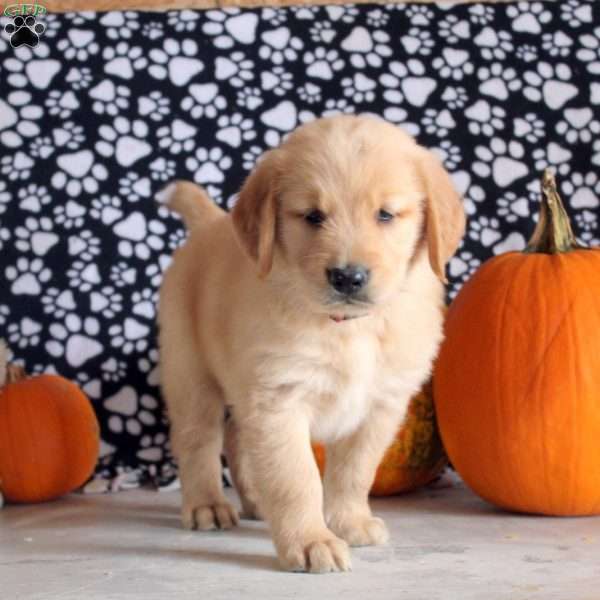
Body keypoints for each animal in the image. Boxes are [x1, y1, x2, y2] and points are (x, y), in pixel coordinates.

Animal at [158, 115, 464, 576]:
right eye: (313, 216)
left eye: (385, 214)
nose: (348, 277)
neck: (348, 329)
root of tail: (212, 223)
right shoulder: (279, 398)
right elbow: (296, 478)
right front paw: (310, 541)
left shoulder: (381, 406)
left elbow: (355, 470)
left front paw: (350, 522)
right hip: (191, 375)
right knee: (200, 442)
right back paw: (207, 506)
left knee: (238, 440)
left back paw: (256, 503)